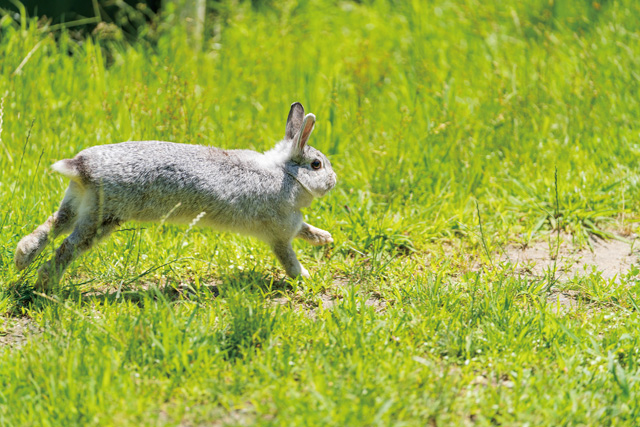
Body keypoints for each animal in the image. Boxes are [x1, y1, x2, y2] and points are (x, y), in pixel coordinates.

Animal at [13, 103, 336, 290]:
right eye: (316, 165)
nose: (333, 181)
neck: (286, 174)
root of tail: (82, 167)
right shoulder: (280, 234)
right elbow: (289, 257)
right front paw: (306, 276)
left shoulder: (292, 223)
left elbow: (305, 229)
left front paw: (325, 238)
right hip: (101, 217)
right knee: (68, 246)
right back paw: (46, 284)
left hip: (77, 203)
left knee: (52, 226)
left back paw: (21, 259)